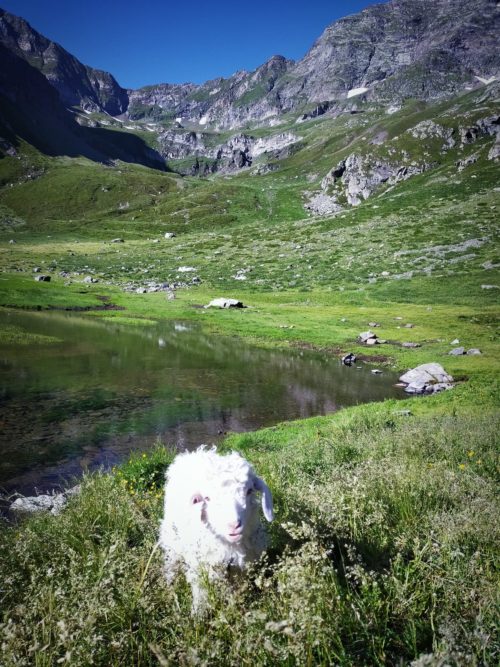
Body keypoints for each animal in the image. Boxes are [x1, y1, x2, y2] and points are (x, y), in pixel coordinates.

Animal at [160, 446, 274, 612]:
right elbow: (200, 593)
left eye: (249, 491)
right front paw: (197, 614)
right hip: (171, 537)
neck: (229, 546)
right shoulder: (199, 568)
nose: (234, 525)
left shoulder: (239, 569)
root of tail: (190, 454)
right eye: (207, 498)